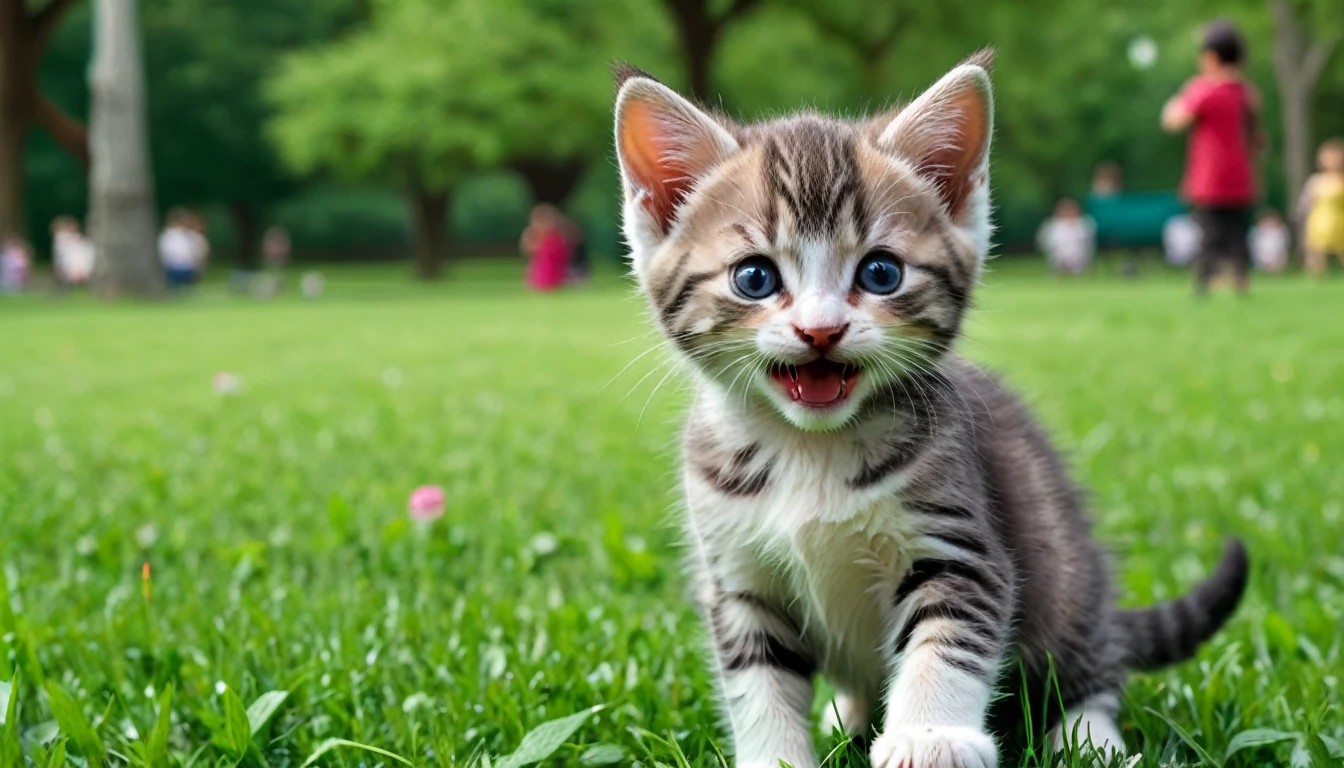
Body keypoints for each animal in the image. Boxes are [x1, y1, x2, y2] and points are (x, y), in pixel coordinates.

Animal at [615, 54, 1241, 768]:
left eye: (881, 272)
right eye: (754, 278)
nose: (820, 331)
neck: (810, 448)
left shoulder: (958, 546)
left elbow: (946, 641)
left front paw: (930, 737)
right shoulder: (738, 580)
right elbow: (757, 681)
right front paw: (776, 755)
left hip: (1067, 577)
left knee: (1090, 672)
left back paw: (1090, 738)